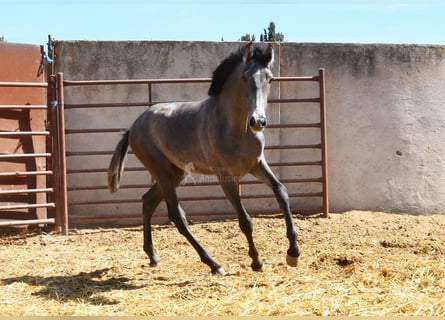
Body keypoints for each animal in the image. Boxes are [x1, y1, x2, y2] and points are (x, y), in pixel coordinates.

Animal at [108, 41, 298, 274]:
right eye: (245, 77)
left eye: (270, 78)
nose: (258, 121)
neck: (236, 129)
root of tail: (133, 127)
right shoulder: (225, 176)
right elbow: (245, 220)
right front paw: (256, 261)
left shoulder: (257, 164)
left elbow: (281, 192)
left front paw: (293, 253)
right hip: (163, 173)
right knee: (176, 215)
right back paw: (214, 264)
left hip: (175, 173)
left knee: (148, 202)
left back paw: (153, 256)